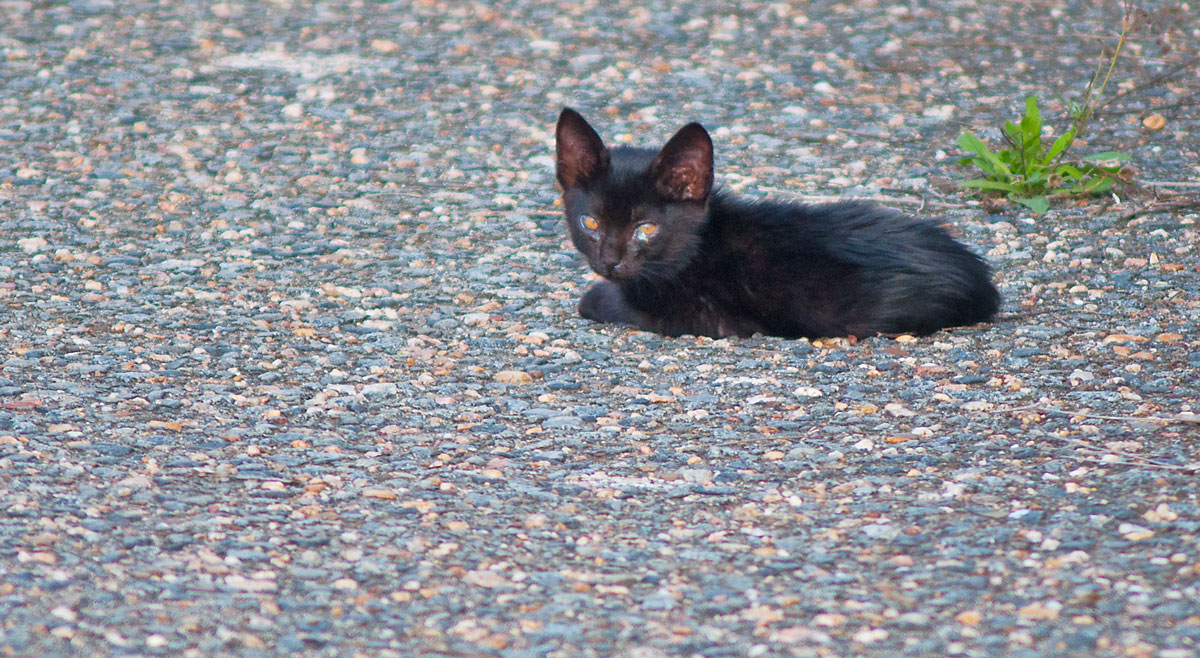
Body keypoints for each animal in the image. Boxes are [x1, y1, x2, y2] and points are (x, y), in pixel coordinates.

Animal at [556, 108, 998, 338]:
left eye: (645, 229)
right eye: (590, 223)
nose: (609, 262)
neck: (697, 248)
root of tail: (982, 281)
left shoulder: (705, 316)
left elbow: (597, 301)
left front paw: (596, 295)